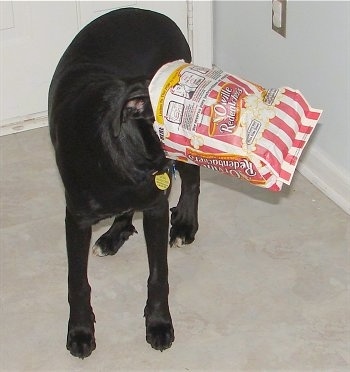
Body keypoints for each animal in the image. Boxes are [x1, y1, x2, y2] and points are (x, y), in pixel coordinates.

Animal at [48, 8, 200, 358]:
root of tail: (151, 13)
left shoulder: (156, 209)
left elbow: (158, 275)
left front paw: (158, 323)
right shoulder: (76, 219)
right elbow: (77, 282)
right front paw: (80, 330)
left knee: (193, 181)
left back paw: (185, 224)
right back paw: (115, 233)